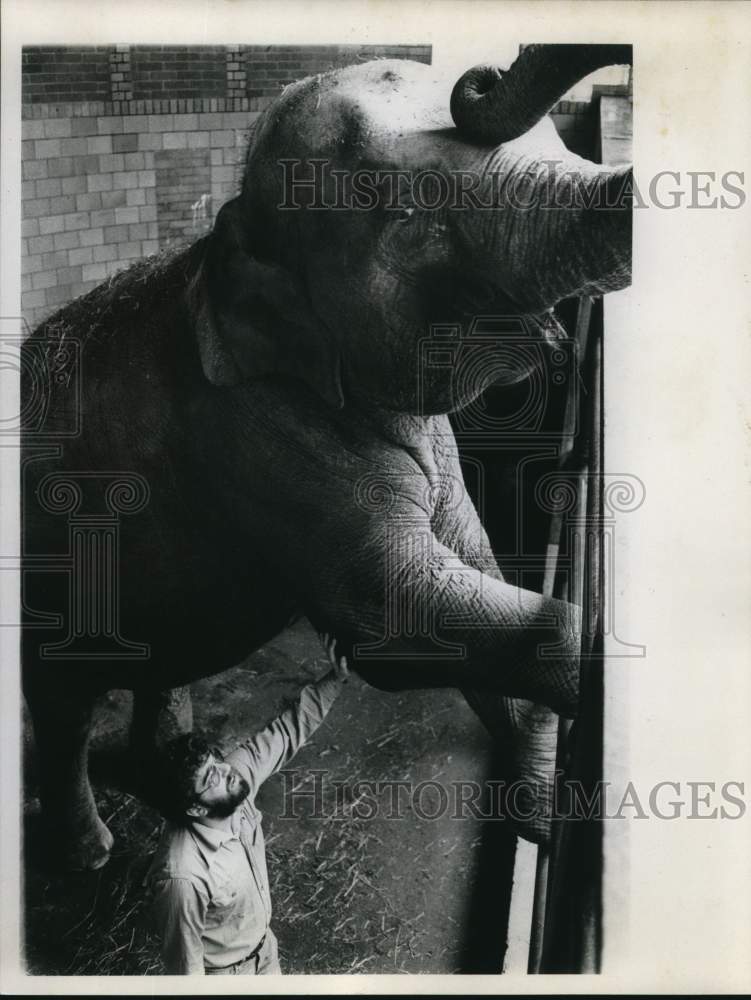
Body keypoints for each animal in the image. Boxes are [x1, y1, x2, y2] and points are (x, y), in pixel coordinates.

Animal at [20, 43, 632, 872]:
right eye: (404, 216)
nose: (478, 77)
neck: (223, 246)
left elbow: (475, 563)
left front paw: (536, 813)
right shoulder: (256, 436)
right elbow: (397, 616)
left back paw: (181, 771)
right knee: (64, 701)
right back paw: (90, 851)